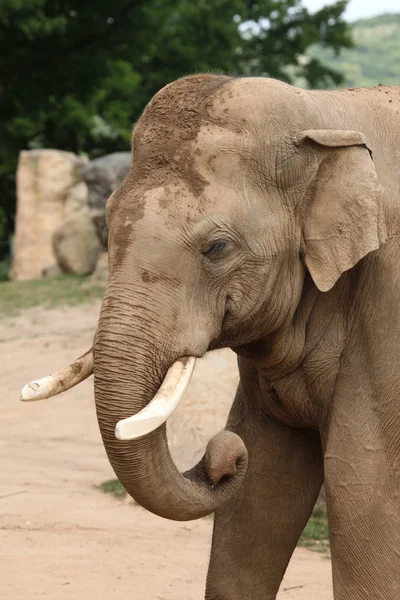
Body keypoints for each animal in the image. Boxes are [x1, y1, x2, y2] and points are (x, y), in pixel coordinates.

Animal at [22, 76, 400, 600]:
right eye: (108, 225)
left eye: (217, 248)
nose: (220, 456)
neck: (323, 112)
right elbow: (264, 472)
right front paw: (249, 457)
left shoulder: (388, 301)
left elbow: (362, 481)